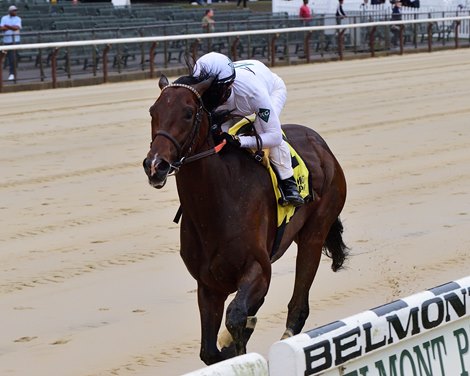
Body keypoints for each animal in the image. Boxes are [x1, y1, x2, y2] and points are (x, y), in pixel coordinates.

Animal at [141, 72, 346, 364]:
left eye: (188, 113)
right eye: (153, 111)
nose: (155, 165)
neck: (217, 206)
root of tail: (321, 145)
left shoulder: (258, 268)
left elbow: (236, 316)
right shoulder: (208, 285)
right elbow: (210, 351)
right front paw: (228, 345)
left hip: (314, 234)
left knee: (299, 305)